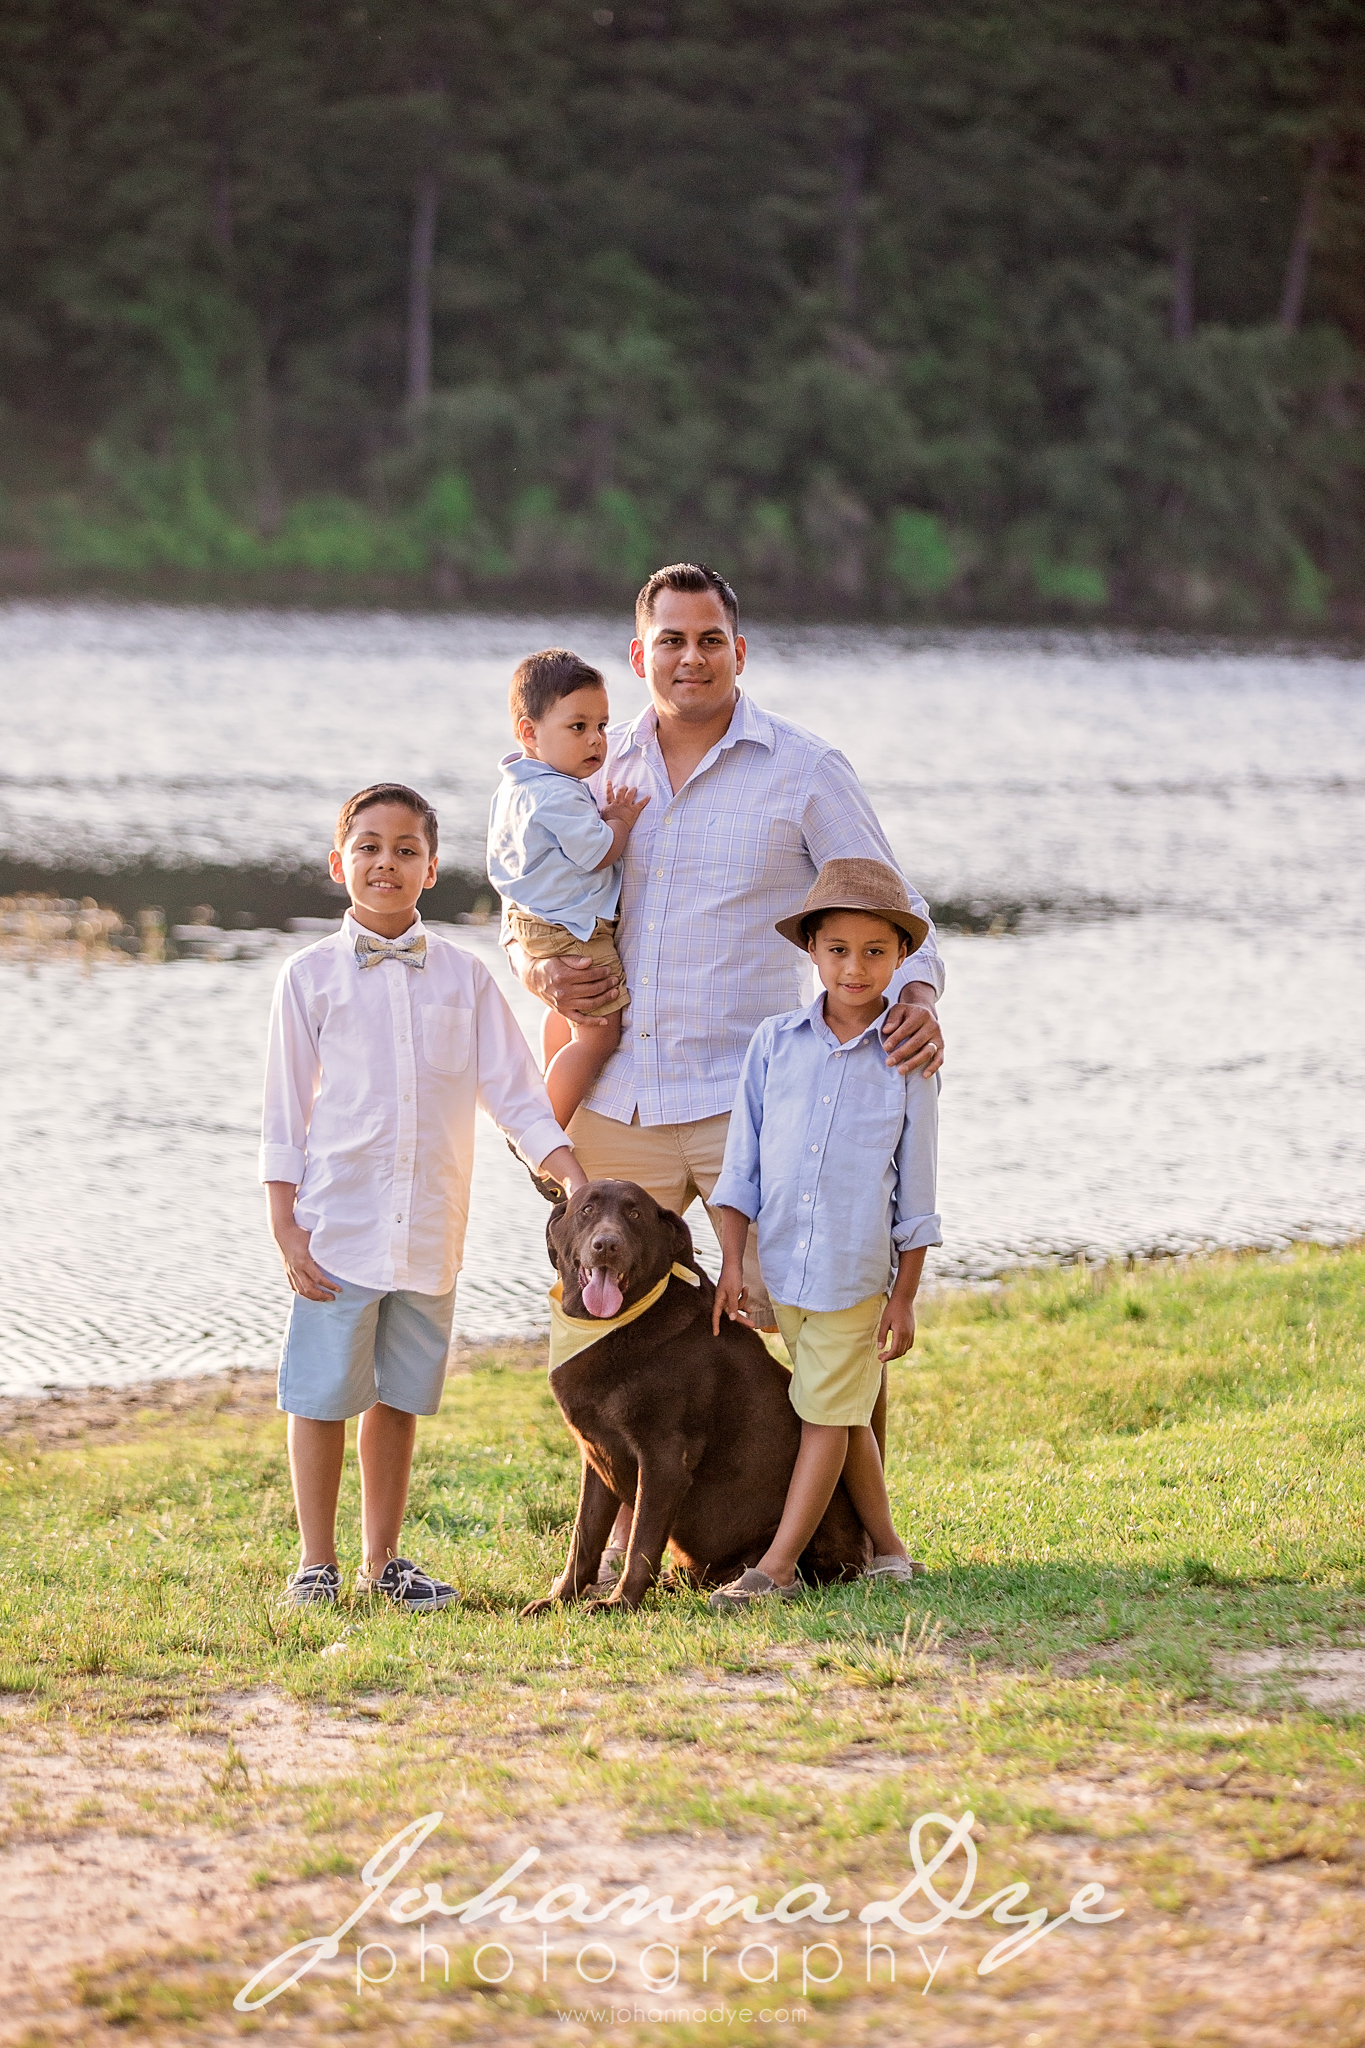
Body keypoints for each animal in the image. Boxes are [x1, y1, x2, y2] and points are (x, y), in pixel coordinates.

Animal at [517, 1187, 871, 1613]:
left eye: (635, 1215)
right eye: (586, 1209)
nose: (606, 1245)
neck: (615, 1325)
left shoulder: (664, 1458)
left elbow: (641, 1543)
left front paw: (620, 1604)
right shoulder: (597, 1454)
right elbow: (583, 1540)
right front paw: (559, 1599)